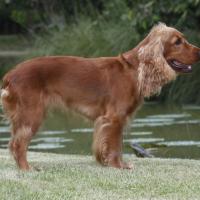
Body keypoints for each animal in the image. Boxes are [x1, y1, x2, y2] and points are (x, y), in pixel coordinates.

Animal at [0, 23, 200, 170]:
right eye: (177, 42)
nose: (199, 51)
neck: (134, 69)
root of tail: (10, 74)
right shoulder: (114, 118)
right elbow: (116, 145)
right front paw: (119, 166)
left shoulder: (108, 120)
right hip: (32, 114)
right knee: (18, 144)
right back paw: (27, 169)